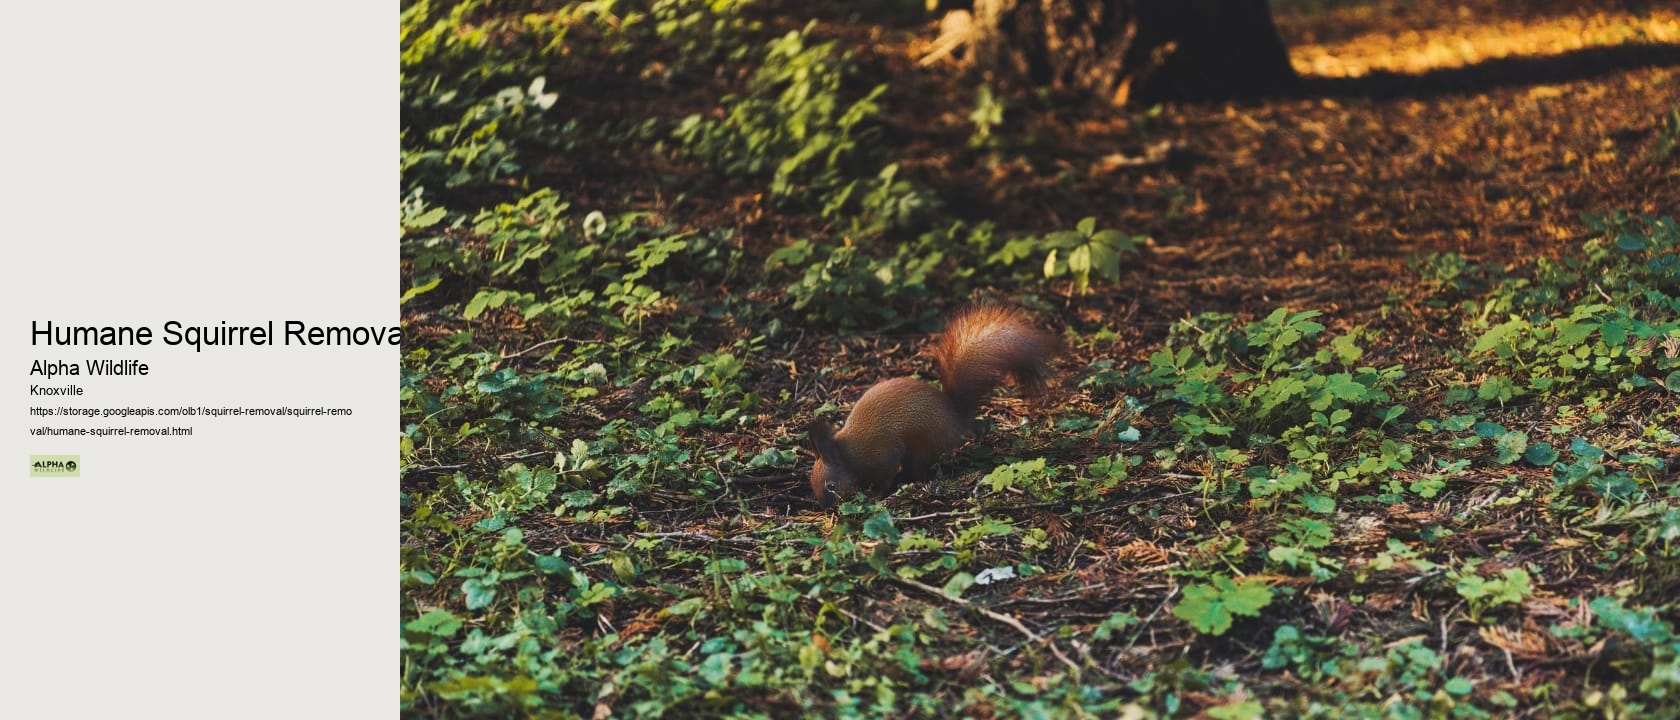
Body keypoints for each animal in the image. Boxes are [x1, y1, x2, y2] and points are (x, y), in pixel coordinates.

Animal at [807, 304, 1057, 505]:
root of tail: (955, 418)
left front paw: (875, 495)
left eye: (831, 485)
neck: (848, 455)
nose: (825, 506)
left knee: (919, 469)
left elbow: (886, 477)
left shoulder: (882, 457)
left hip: (923, 445)